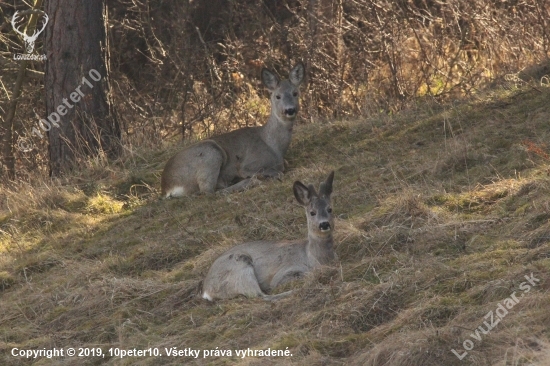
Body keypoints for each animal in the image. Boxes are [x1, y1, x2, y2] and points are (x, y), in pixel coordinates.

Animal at [161, 62, 306, 197]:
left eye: (295, 93)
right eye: (277, 96)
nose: (290, 110)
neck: (274, 146)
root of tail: (166, 187)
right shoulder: (247, 165)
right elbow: (277, 171)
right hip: (210, 153)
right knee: (209, 192)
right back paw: (250, 181)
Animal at [203, 172, 336, 300]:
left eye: (330, 209)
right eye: (312, 212)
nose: (324, 224)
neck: (314, 257)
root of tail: (206, 291)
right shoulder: (286, 271)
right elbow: (297, 276)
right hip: (239, 265)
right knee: (260, 296)